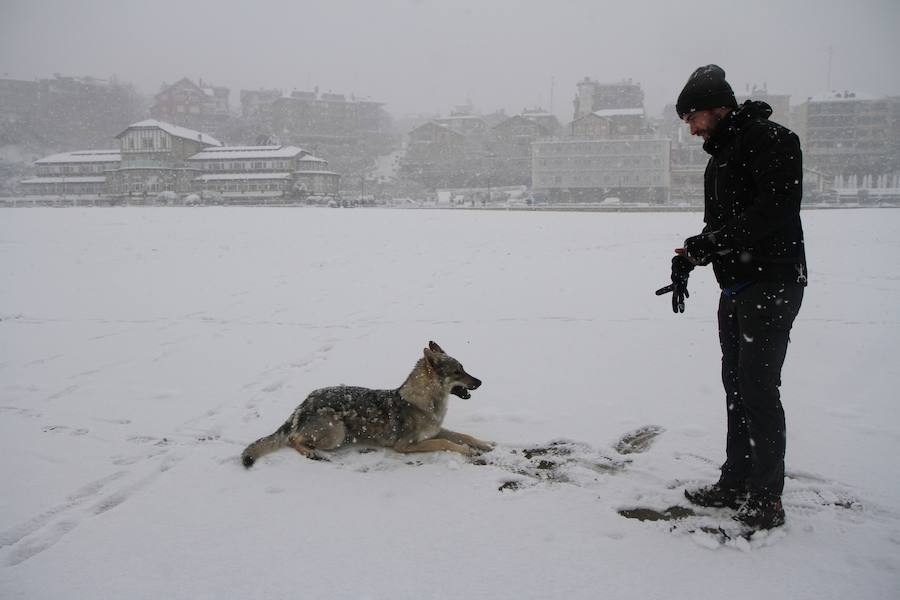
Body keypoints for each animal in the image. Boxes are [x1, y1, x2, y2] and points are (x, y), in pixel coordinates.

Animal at [241, 342, 492, 464]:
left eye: (463, 369)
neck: (424, 402)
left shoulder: (436, 430)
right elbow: (445, 443)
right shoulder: (405, 446)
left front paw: (485, 444)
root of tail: (304, 402)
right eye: (457, 372)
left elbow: (464, 436)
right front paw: (468, 452)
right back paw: (311, 454)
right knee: (294, 439)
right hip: (337, 433)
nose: (480, 382)